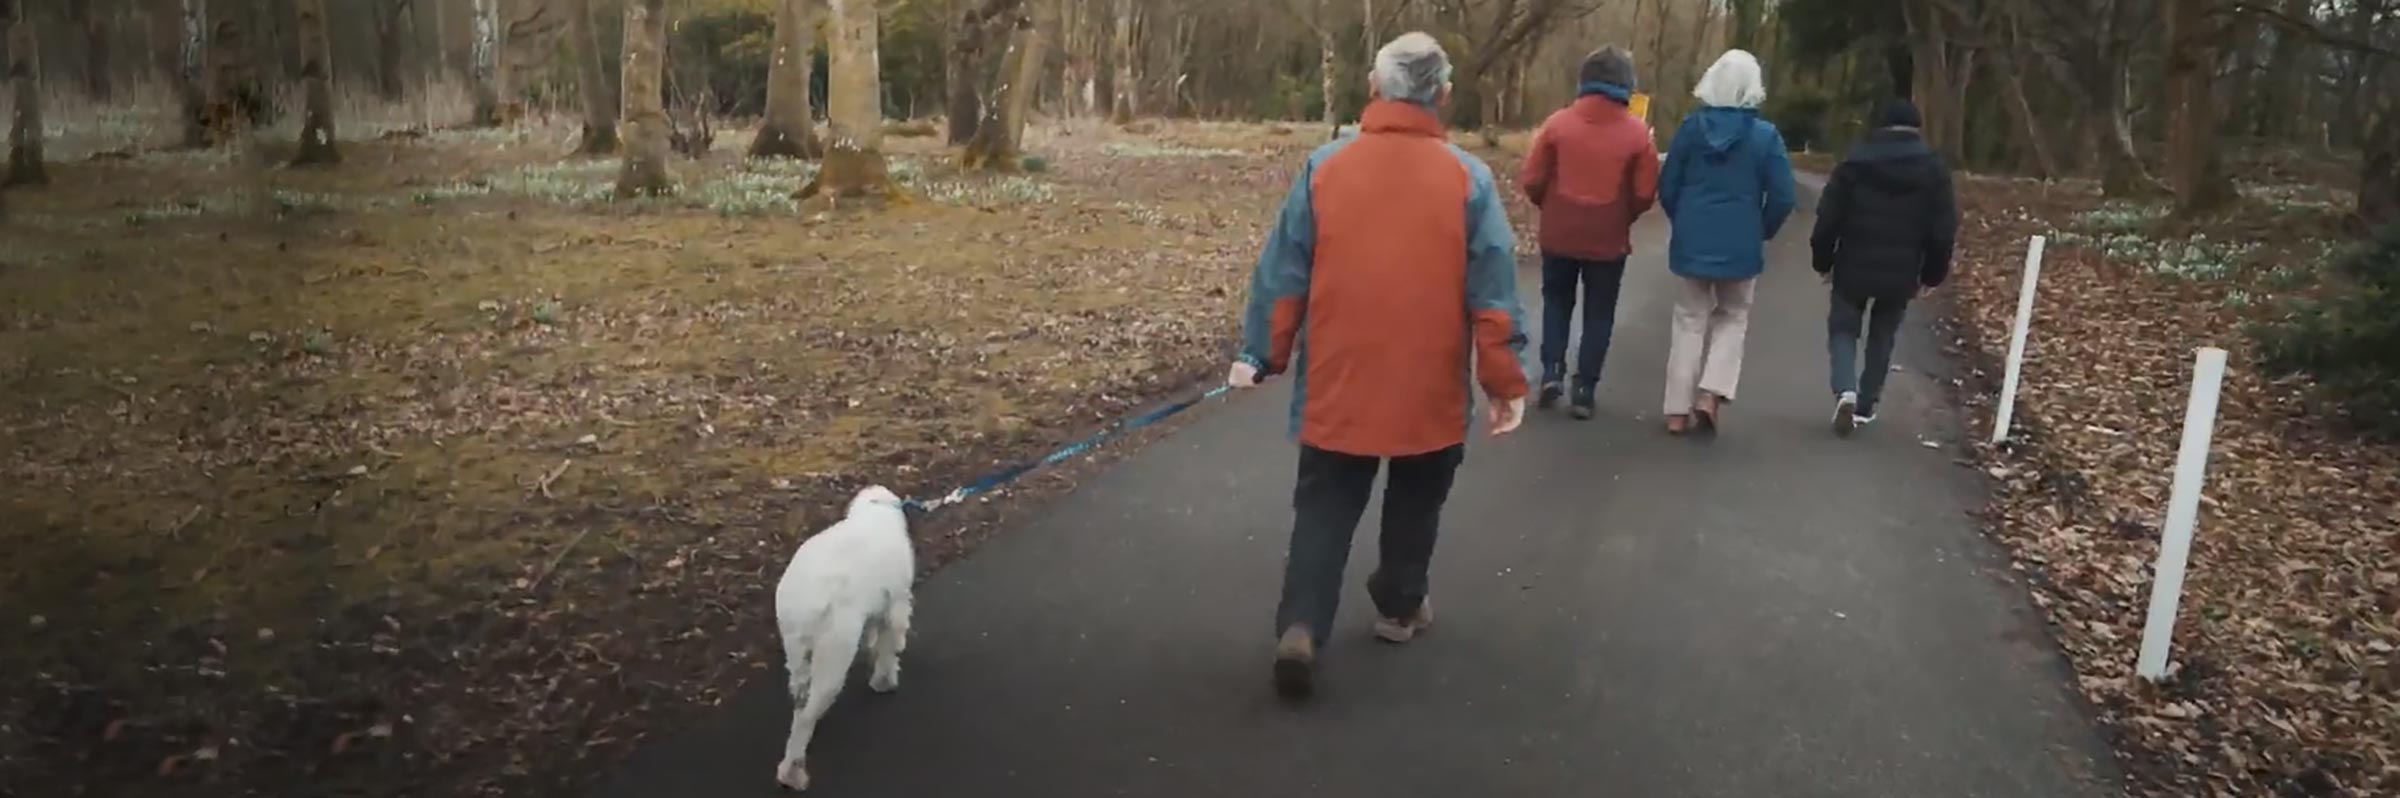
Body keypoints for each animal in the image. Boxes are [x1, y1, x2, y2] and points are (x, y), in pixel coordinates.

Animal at [772, 483, 912, 788]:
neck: (875, 510)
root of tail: (808, 601)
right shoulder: (894, 603)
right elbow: (889, 644)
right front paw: (885, 680)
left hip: (797, 650)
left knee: (800, 697)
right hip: (833, 650)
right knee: (805, 717)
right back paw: (793, 771)